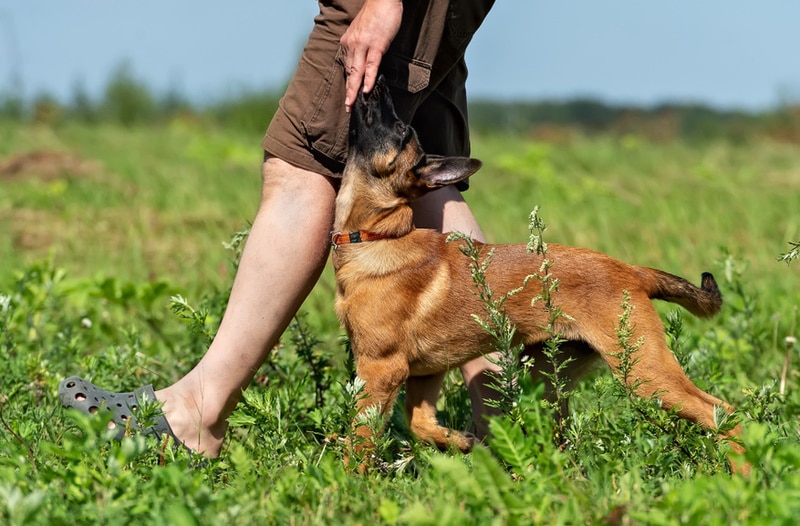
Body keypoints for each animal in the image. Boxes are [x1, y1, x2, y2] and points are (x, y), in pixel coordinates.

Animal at [330, 77, 744, 474]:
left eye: (401, 128)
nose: (376, 82)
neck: (377, 235)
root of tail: (631, 271)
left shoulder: (382, 368)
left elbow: (361, 437)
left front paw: (351, 484)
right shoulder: (424, 372)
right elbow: (419, 423)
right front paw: (459, 442)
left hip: (645, 372)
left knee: (723, 413)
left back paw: (744, 470)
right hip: (549, 381)